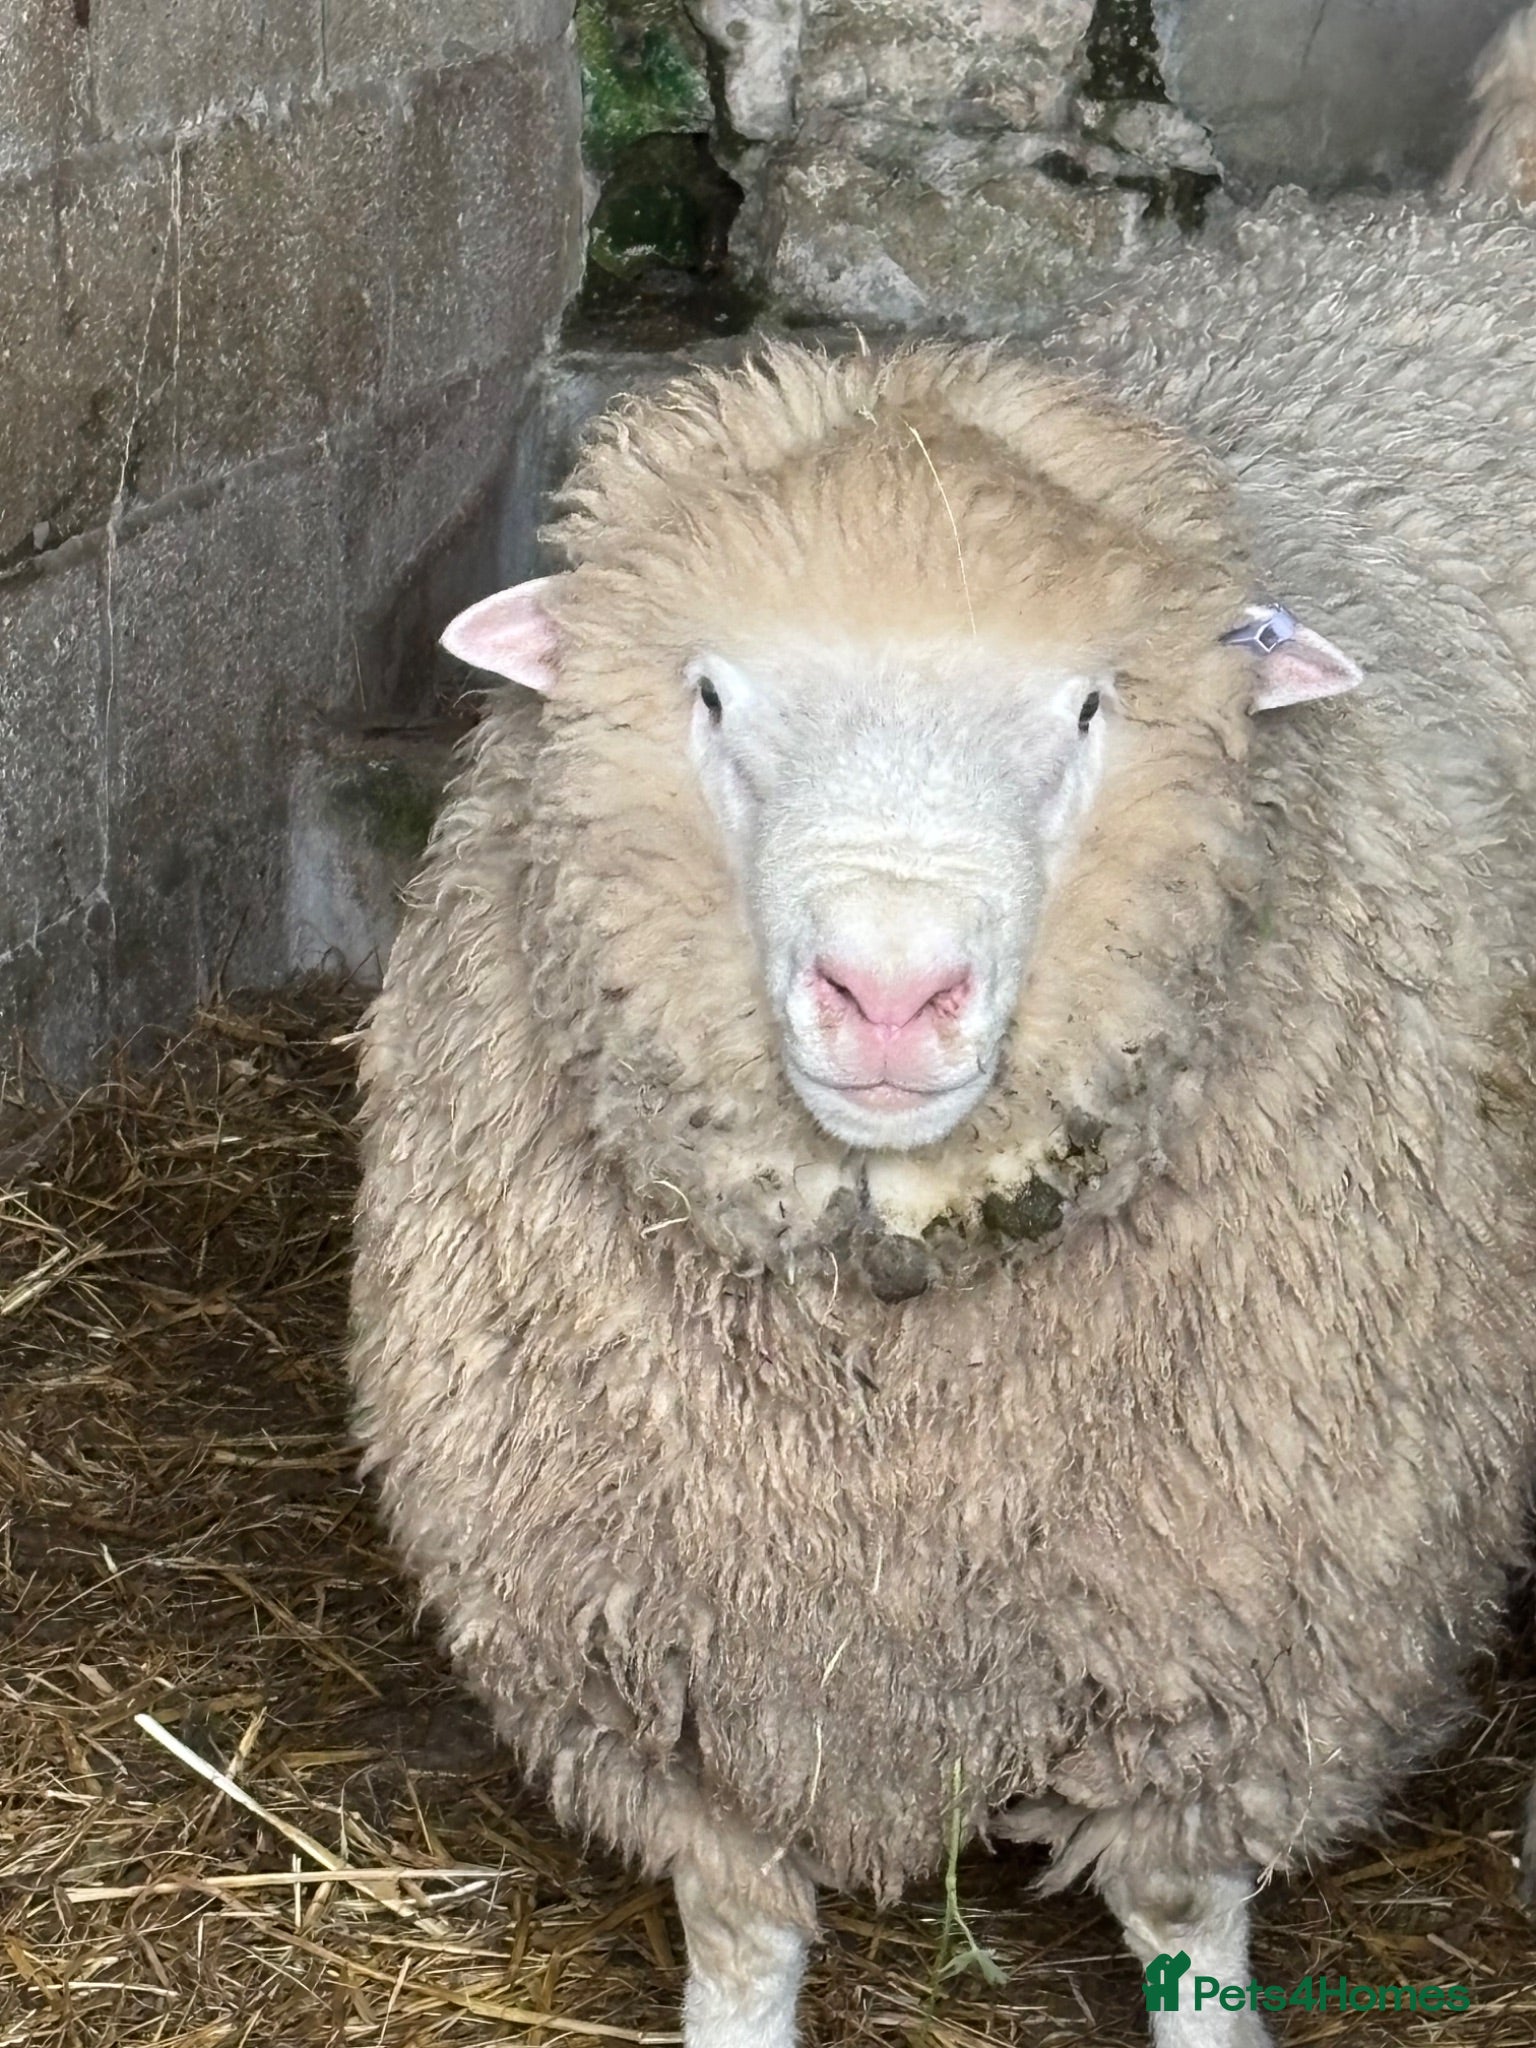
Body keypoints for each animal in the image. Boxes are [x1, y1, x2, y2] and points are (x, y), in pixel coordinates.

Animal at [350, 36, 1536, 2048]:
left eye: (1087, 710)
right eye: (711, 693)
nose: (890, 989)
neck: (893, 1424)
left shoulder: (1236, 1634)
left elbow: (1185, 1918)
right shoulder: (673, 1656)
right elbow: (740, 1929)